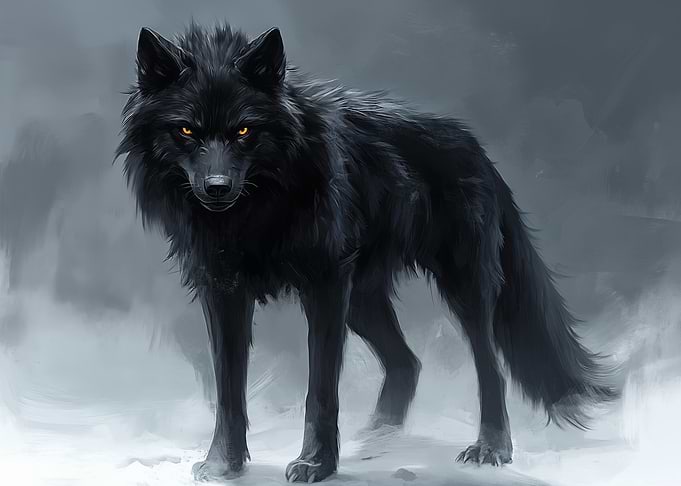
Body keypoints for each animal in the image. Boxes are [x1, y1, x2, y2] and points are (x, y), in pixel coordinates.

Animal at [117, 22, 616, 483]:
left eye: (243, 130)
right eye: (186, 130)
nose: (217, 188)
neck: (258, 210)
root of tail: (477, 148)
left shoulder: (324, 289)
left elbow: (319, 390)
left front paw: (316, 464)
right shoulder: (223, 290)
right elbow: (227, 388)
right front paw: (225, 465)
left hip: (460, 289)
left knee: (488, 366)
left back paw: (490, 448)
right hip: (362, 301)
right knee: (407, 362)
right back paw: (377, 442)